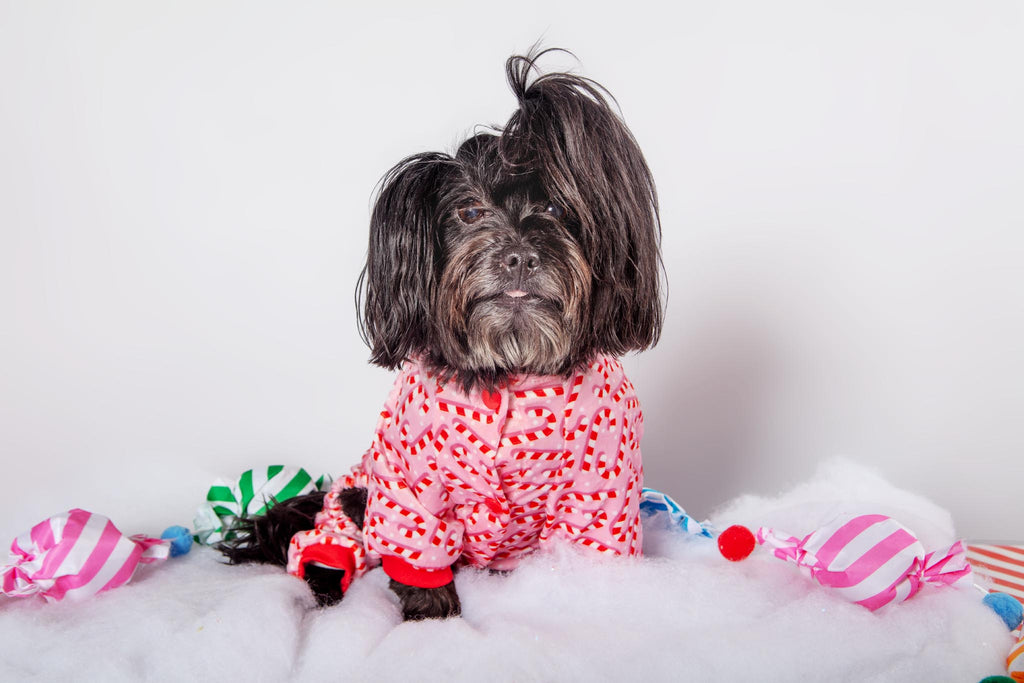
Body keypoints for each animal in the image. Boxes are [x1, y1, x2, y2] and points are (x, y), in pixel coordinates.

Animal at [219, 50, 659, 622]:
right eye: (469, 212)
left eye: (558, 209)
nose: (519, 255)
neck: (509, 367)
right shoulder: (407, 484)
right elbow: (417, 552)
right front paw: (433, 618)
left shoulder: (605, 486)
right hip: (351, 502)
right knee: (327, 546)